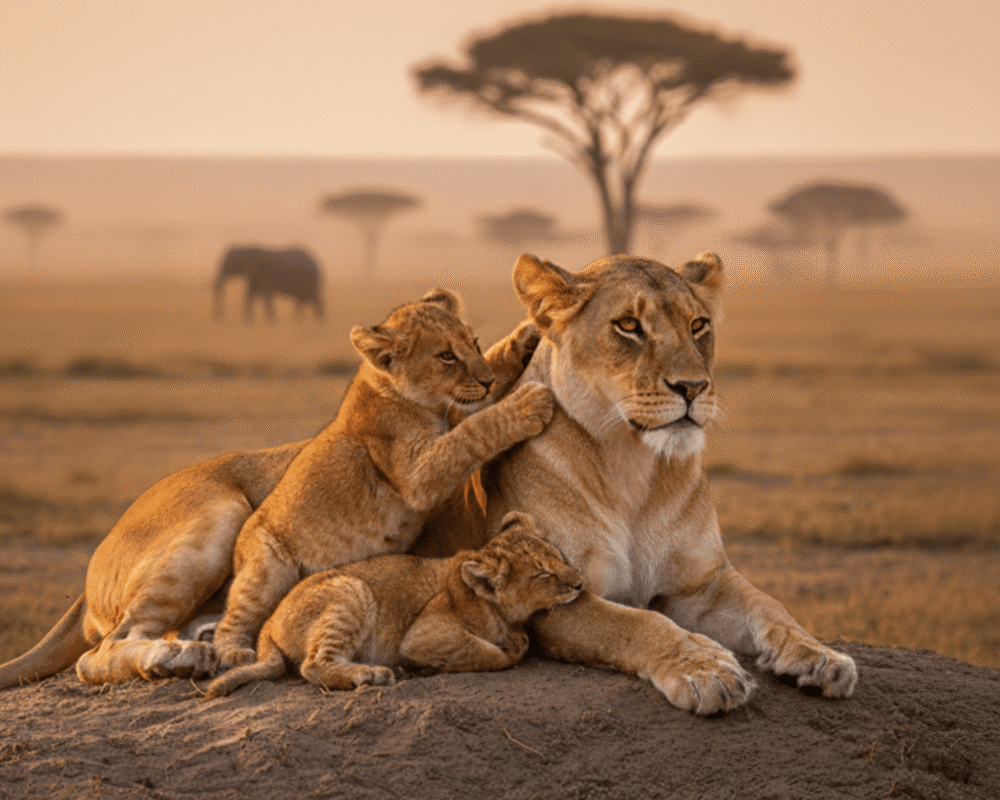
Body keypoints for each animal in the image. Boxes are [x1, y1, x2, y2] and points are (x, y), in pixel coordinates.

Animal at [0, 288, 547, 689]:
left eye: (473, 342)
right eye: (446, 356)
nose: (480, 375)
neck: (400, 394)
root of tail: (87, 581)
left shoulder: (447, 421)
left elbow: (475, 409)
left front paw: (523, 341)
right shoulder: (413, 468)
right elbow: (472, 432)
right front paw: (526, 405)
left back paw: (196, 647)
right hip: (226, 523)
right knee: (103, 652)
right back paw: (184, 657)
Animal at [203, 511, 582, 698]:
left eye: (560, 556)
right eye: (544, 574)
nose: (580, 582)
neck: (495, 605)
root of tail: (268, 622)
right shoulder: (424, 634)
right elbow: (491, 654)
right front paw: (506, 647)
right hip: (351, 591)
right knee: (313, 665)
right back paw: (372, 674)